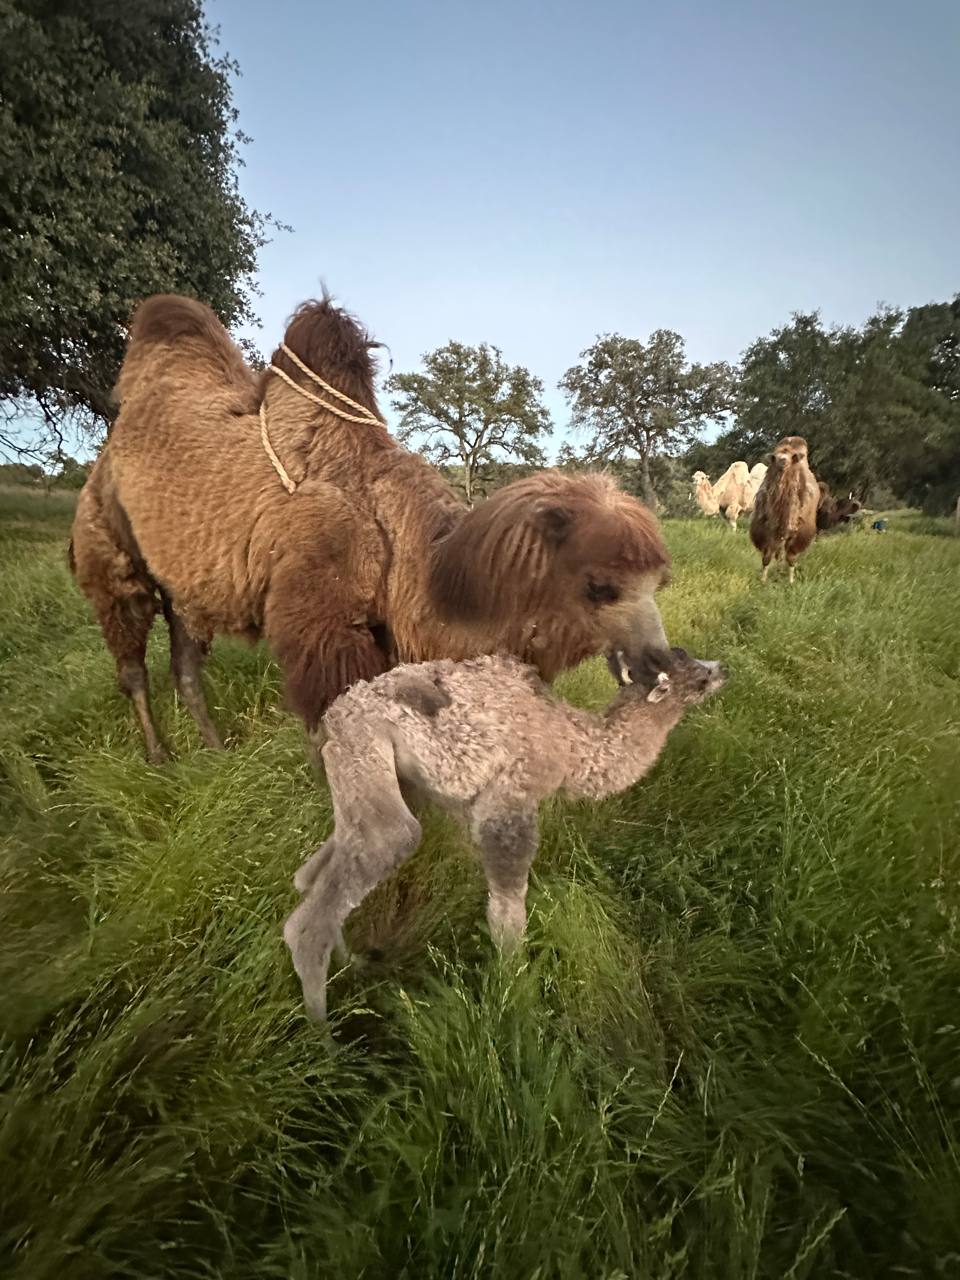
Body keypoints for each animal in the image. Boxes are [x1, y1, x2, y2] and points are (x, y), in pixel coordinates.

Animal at [69, 293, 673, 763]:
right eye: (600, 586)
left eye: (658, 583)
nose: (661, 661)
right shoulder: (324, 621)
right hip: (108, 550)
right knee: (131, 660)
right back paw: (159, 756)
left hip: (184, 584)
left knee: (186, 663)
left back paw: (215, 753)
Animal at [283, 646, 725, 1020]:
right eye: (697, 675)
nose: (722, 670)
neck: (575, 746)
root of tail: (329, 723)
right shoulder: (511, 804)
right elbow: (507, 918)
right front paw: (516, 993)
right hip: (368, 760)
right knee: (328, 903)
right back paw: (325, 1041)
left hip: (375, 782)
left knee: (311, 876)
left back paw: (352, 965)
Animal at [749, 436, 819, 582]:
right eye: (775, 457)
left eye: (791, 456)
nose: (782, 460)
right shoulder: (768, 530)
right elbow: (767, 556)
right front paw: (763, 580)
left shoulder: (796, 532)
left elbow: (791, 558)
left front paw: (791, 581)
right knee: (778, 553)